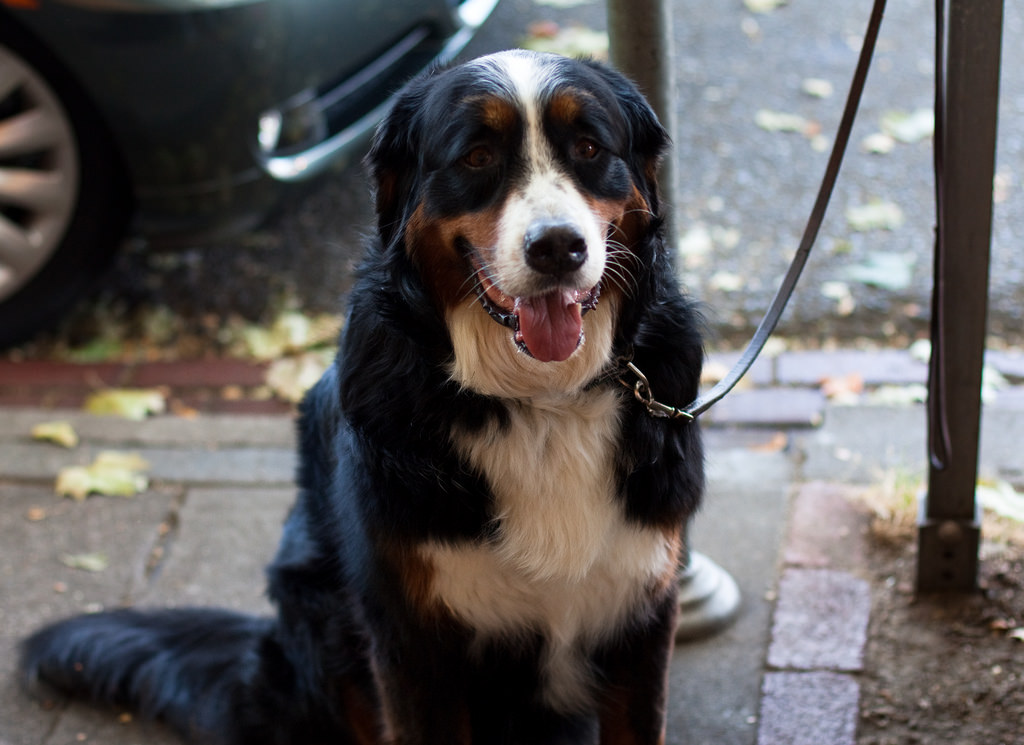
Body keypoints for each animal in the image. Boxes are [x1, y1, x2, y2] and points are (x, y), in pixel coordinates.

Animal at [18, 50, 704, 745]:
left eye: (589, 147)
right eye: (477, 156)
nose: (558, 247)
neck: (539, 400)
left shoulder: (640, 613)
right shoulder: (412, 637)